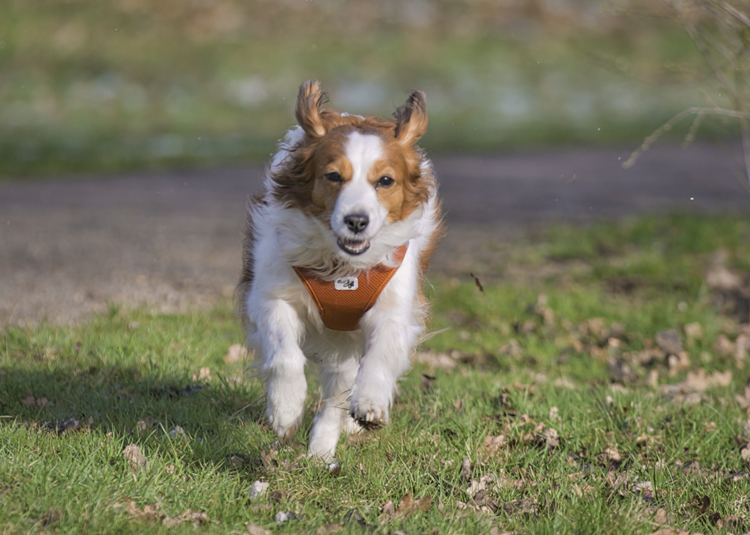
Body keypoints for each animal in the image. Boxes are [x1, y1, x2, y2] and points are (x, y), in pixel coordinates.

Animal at [238, 79, 444, 460]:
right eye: (333, 176)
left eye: (385, 181)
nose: (357, 221)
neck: (340, 267)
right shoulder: (271, 297)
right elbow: (285, 354)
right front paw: (286, 407)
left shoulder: (392, 309)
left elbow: (379, 355)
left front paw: (370, 402)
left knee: (336, 397)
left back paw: (322, 450)